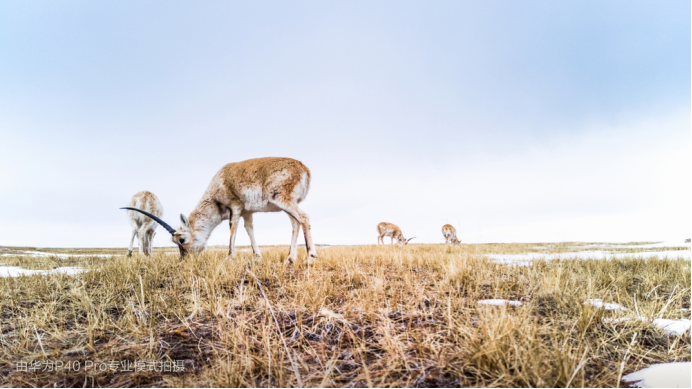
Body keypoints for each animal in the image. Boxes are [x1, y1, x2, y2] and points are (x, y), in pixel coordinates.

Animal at [123, 158, 318, 264]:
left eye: (182, 240)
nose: (185, 260)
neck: (219, 181)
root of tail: (305, 169)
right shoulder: (247, 212)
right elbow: (249, 230)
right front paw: (257, 256)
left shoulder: (235, 207)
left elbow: (233, 228)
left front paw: (230, 257)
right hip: (286, 205)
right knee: (295, 223)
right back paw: (290, 259)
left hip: (282, 200)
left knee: (304, 218)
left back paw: (310, 257)